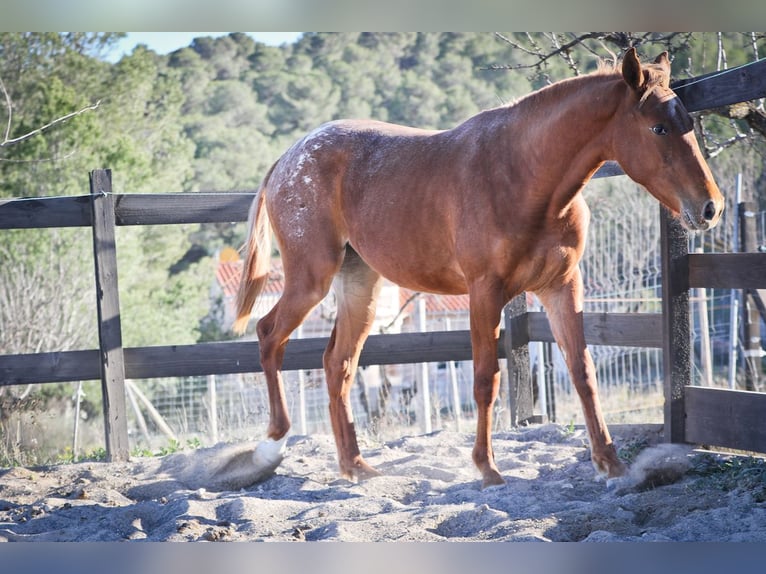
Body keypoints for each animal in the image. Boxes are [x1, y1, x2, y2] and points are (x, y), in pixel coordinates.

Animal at [234, 50, 728, 490]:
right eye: (658, 127)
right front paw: (487, 468)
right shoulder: (485, 293)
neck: (523, 174)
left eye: (687, 123)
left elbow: (582, 372)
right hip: (311, 279)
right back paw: (271, 445)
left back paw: (355, 466)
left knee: (338, 363)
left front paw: (611, 464)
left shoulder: (561, 287)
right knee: (269, 335)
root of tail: (288, 158)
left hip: (361, 288)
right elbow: (486, 379)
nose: (711, 208)